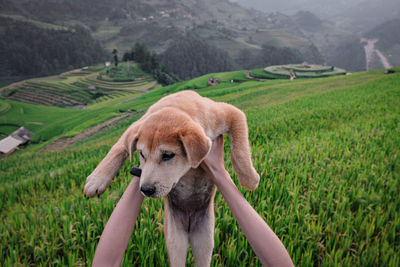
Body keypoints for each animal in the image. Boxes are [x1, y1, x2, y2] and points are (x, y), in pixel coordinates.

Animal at [84, 90, 260, 267]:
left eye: (168, 155)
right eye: (142, 154)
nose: (146, 190)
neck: (176, 106)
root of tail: (189, 221)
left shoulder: (230, 113)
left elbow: (240, 149)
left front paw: (249, 178)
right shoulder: (134, 127)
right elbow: (118, 148)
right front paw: (95, 181)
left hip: (205, 240)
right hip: (175, 241)